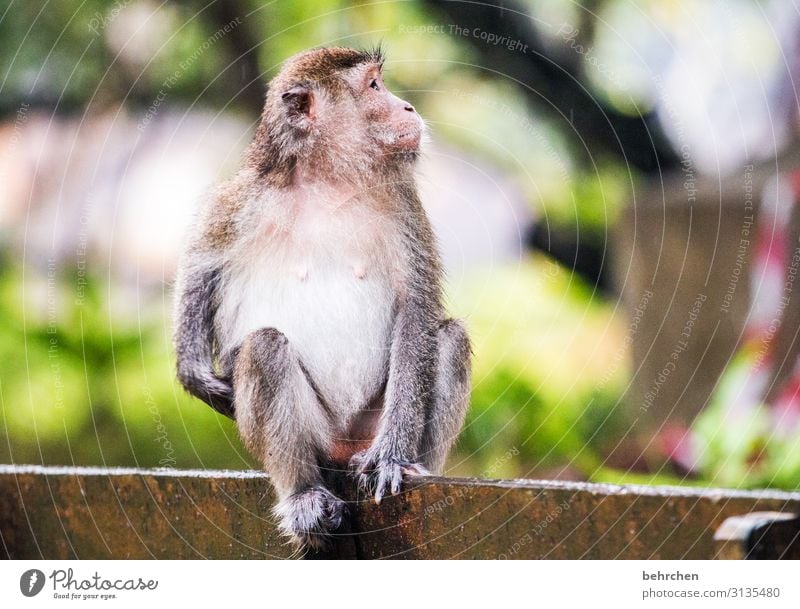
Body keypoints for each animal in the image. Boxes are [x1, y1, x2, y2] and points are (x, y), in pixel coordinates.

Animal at [173, 46, 472, 548]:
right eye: (374, 86)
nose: (408, 107)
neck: (330, 181)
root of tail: (343, 448)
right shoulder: (243, 197)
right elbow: (201, 264)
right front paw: (193, 369)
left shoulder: (403, 202)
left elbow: (417, 310)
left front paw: (393, 456)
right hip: (317, 435)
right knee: (265, 348)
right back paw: (304, 495)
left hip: (367, 428)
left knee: (447, 337)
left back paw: (417, 467)